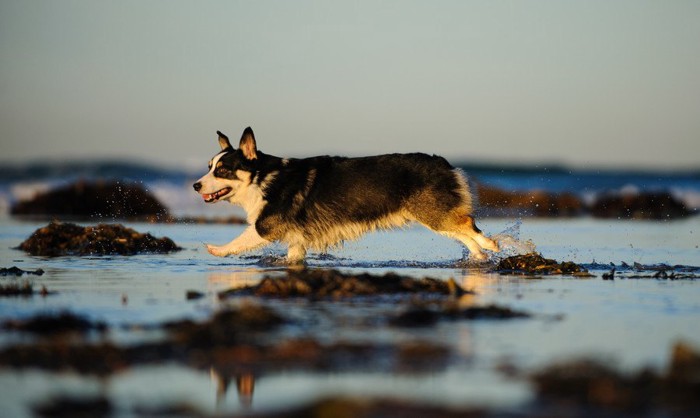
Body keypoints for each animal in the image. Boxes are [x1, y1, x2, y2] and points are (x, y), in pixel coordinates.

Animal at [191, 128, 498, 264]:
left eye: (222, 170)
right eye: (209, 167)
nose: (195, 185)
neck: (262, 177)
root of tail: (445, 163)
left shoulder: (267, 226)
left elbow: (239, 240)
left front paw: (215, 250)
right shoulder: (296, 242)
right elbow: (293, 257)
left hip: (432, 214)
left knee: (470, 226)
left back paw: (492, 244)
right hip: (435, 217)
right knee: (465, 233)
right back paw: (481, 255)